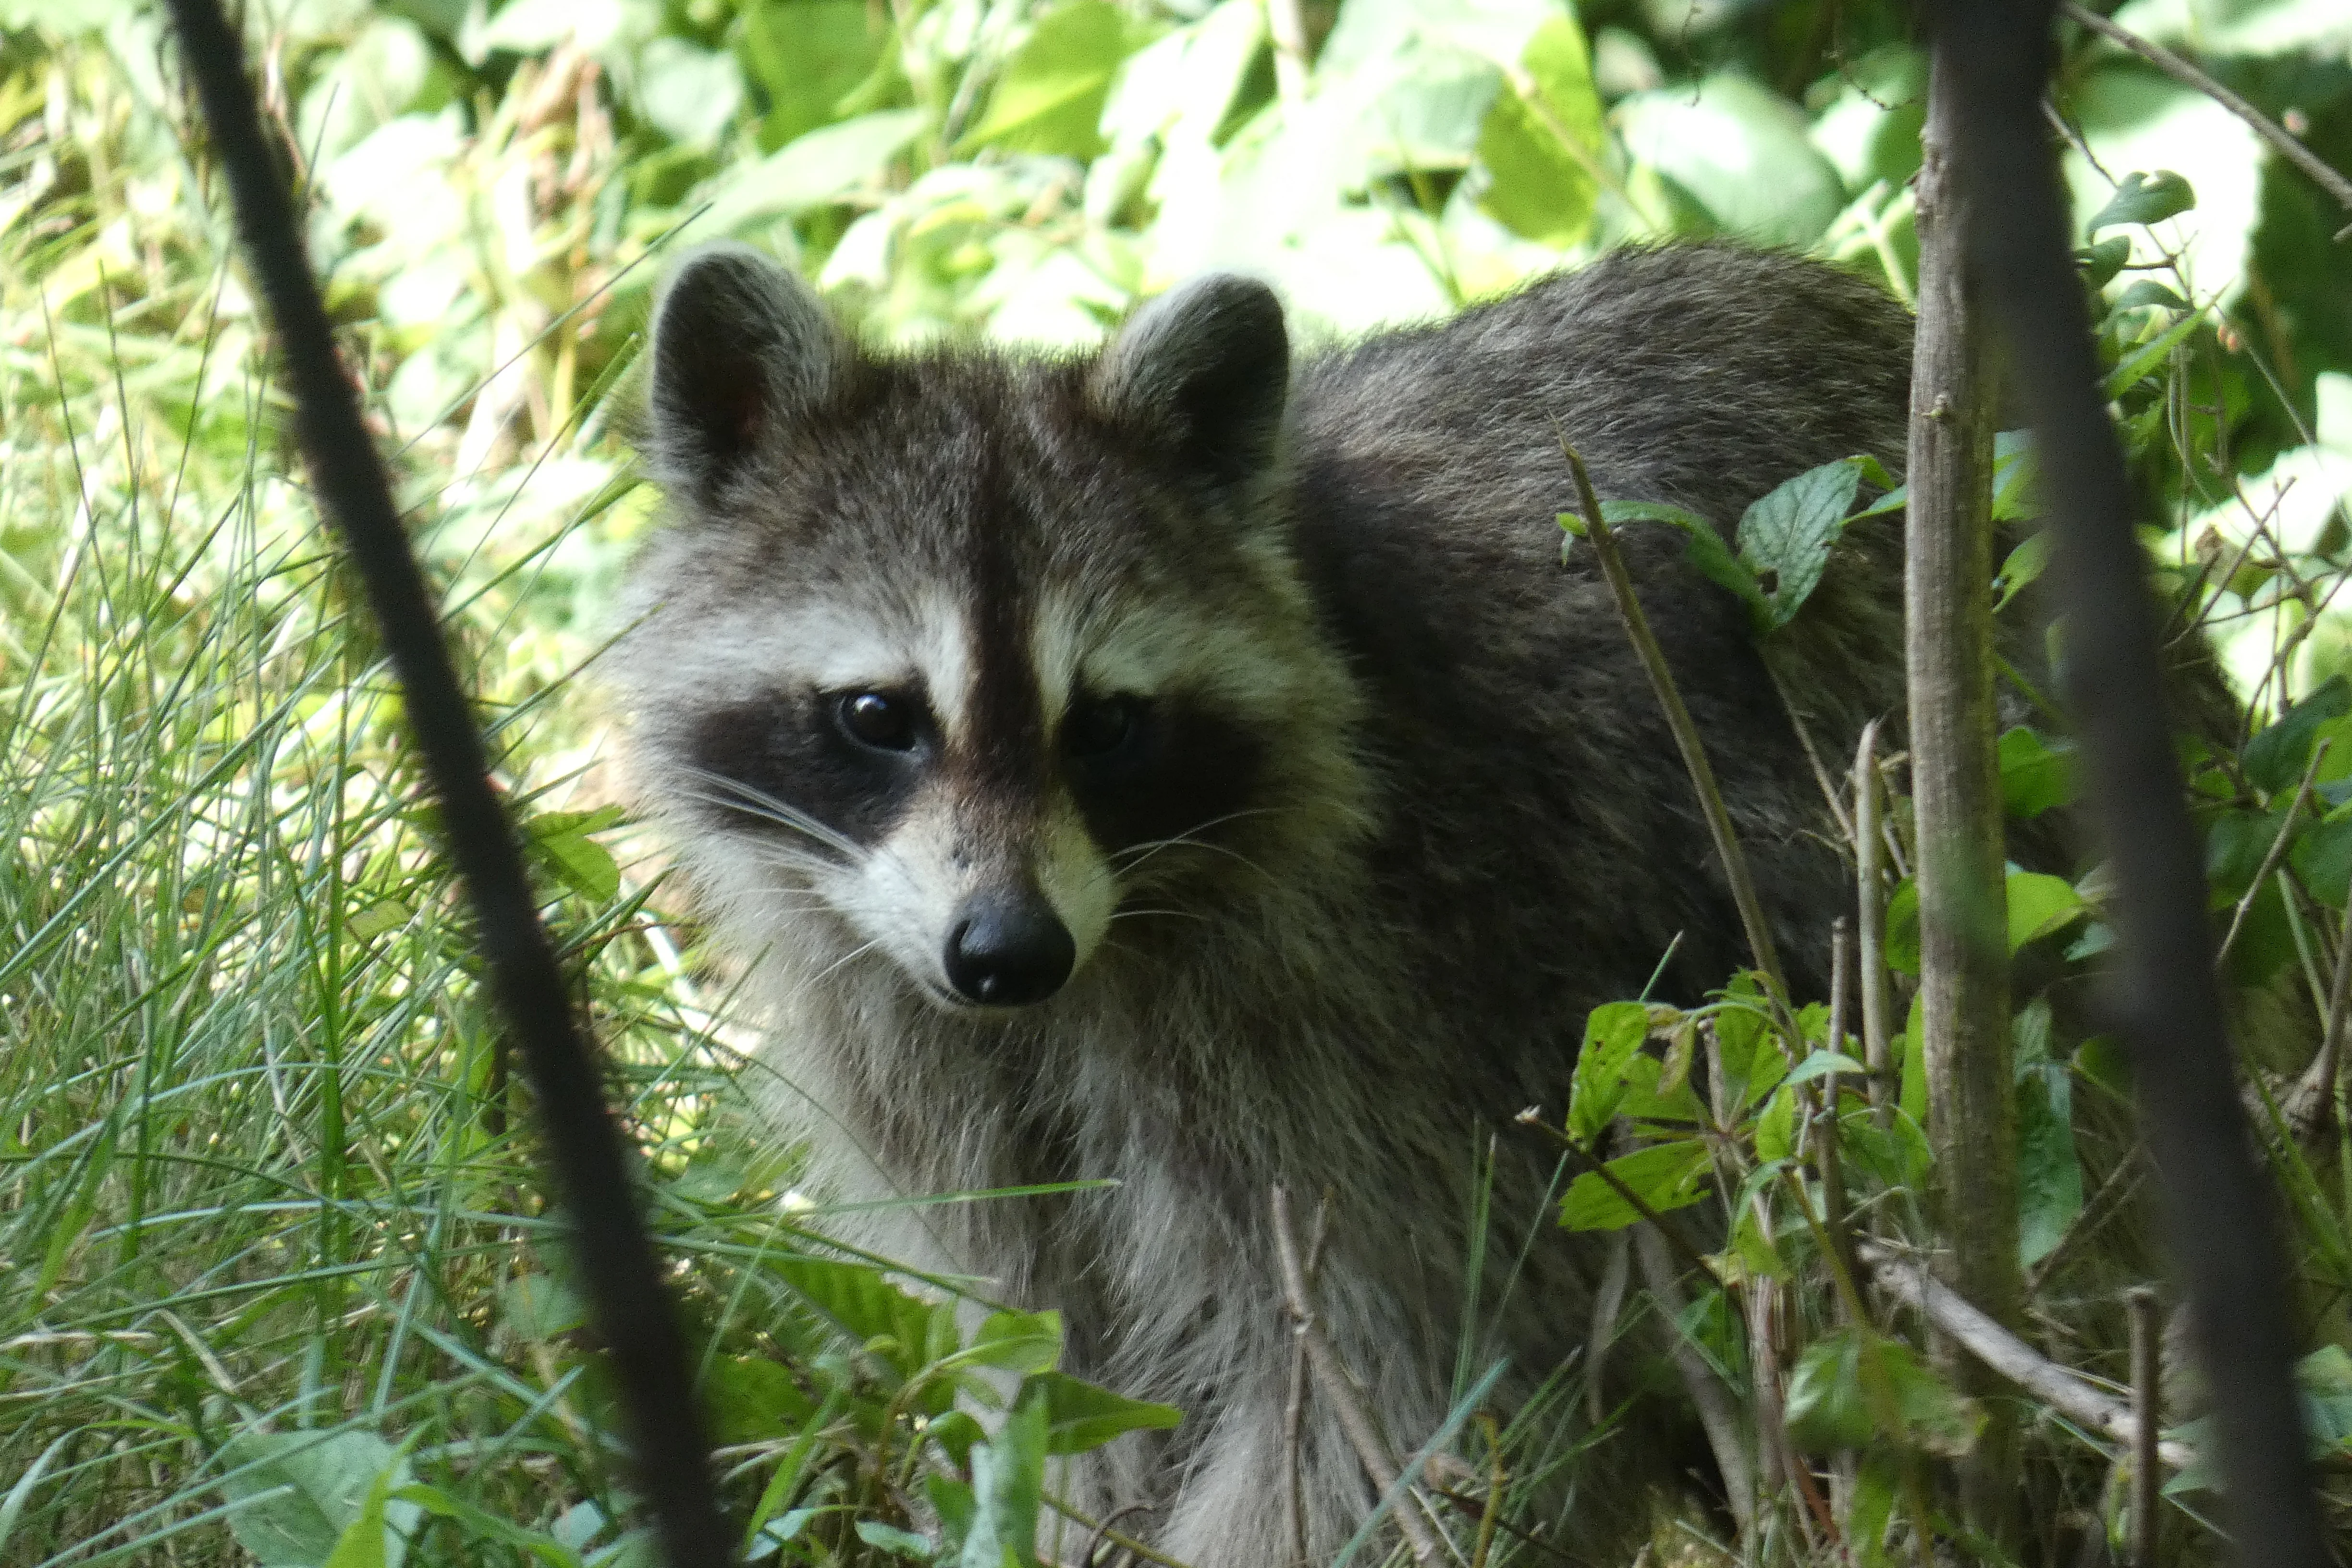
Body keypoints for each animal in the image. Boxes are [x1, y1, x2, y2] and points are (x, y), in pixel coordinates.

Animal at [616, 241, 1915, 1564]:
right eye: (878, 717)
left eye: (1107, 726)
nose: (1009, 951)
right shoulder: (916, 1051)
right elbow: (1050, 1355)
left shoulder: (1407, 1013)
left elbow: (1418, 1377)